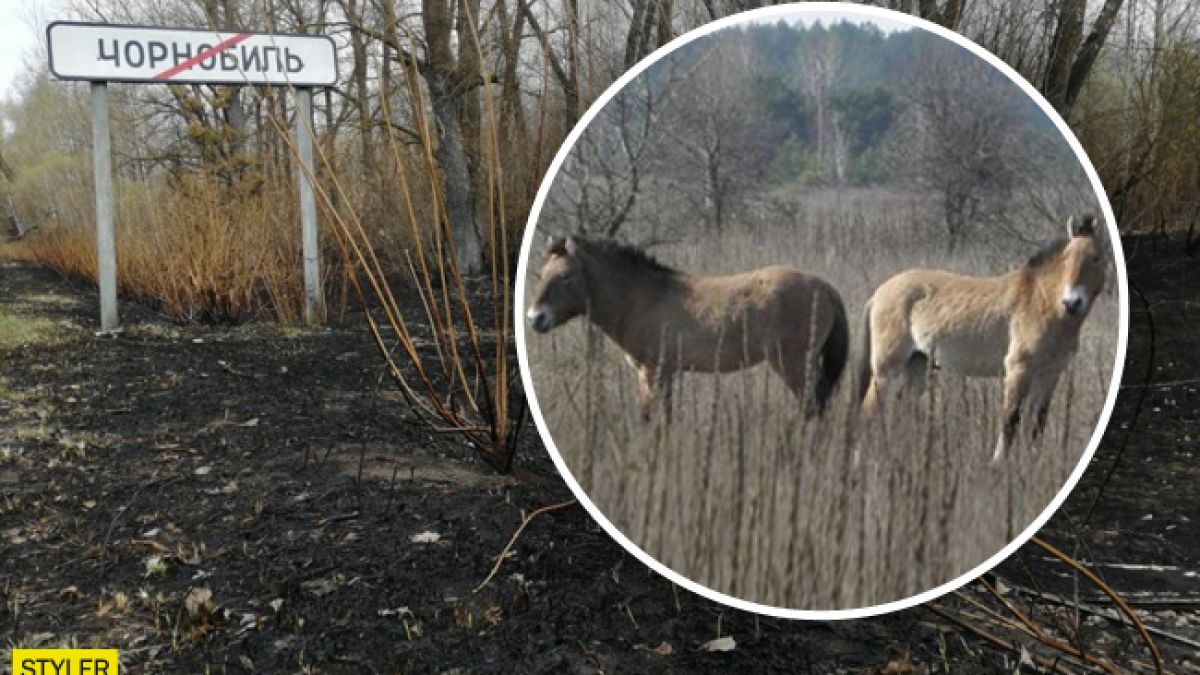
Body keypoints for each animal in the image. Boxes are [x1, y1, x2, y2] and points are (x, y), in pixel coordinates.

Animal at [528, 235, 854, 415]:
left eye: (567, 276)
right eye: (542, 274)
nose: (535, 318)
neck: (641, 296)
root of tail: (827, 289)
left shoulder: (654, 371)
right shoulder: (659, 374)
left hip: (793, 364)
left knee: (813, 405)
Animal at [859, 212, 1108, 458]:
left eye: (1096, 258)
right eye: (1066, 258)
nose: (1072, 303)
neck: (1042, 303)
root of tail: (878, 293)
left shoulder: (1049, 375)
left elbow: (1037, 425)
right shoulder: (1018, 371)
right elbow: (1010, 422)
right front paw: (998, 464)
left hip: (917, 365)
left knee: (902, 410)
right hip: (886, 370)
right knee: (869, 412)